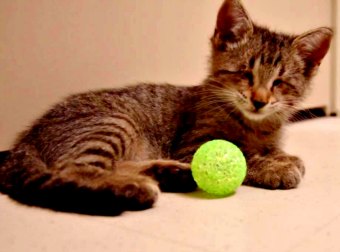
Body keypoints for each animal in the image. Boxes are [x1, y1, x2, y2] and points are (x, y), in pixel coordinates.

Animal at [0, 0, 332, 215]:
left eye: (279, 82)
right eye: (245, 73)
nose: (259, 100)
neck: (256, 126)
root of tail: (27, 138)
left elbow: (272, 150)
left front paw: (281, 157)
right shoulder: (192, 144)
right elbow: (240, 157)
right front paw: (275, 167)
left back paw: (167, 174)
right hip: (115, 122)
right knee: (73, 168)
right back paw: (133, 188)